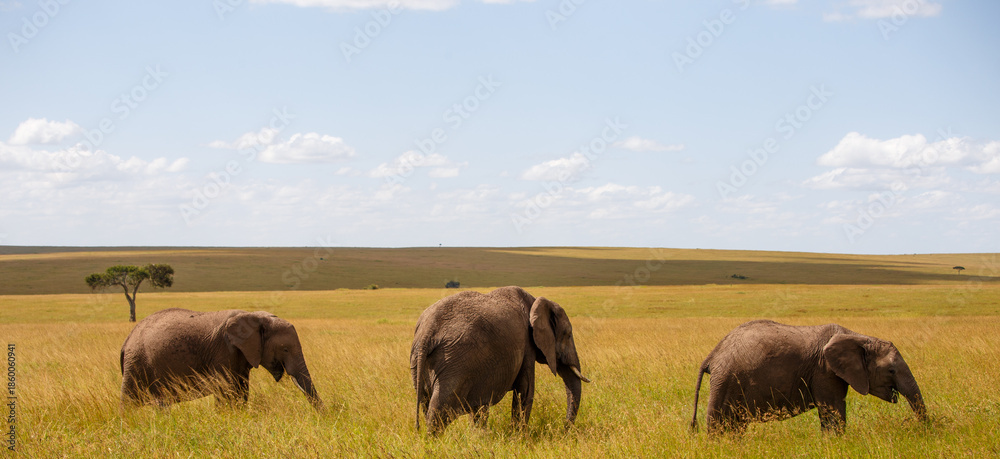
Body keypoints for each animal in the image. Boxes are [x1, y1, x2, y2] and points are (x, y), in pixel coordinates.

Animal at [120, 308, 323, 410]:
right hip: (136, 363)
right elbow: (226, 389)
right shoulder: (223, 350)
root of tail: (126, 341)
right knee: (129, 401)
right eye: (285, 349)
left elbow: (242, 389)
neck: (255, 316)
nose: (322, 416)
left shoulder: (241, 355)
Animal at [410, 286, 590, 434]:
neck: (535, 301)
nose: (564, 430)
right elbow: (525, 390)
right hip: (454, 362)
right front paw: (519, 437)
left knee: (426, 403)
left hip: (420, 363)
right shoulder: (527, 345)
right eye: (568, 334)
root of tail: (427, 331)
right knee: (438, 410)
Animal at [690, 320, 927, 434]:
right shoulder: (824, 371)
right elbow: (833, 409)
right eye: (891, 371)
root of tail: (713, 354)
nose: (922, 429)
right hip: (727, 380)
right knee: (720, 422)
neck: (858, 336)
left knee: (735, 425)